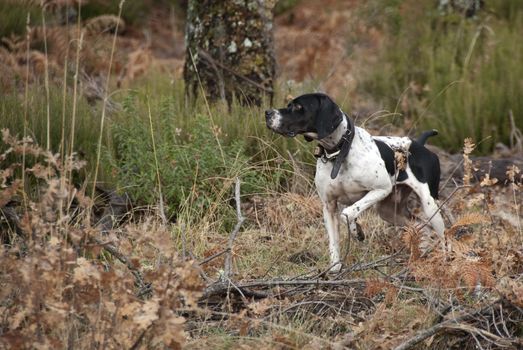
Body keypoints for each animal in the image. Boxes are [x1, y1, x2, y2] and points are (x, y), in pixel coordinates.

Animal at [266, 93, 446, 274]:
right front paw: (335, 268)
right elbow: (334, 242)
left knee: (443, 236)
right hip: (388, 211)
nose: (267, 113)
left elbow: (347, 213)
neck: (339, 152)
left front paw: (356, 231)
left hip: (430, 206)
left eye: (298, 107)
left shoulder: (381, 189)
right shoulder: (328, 206)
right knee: (420, 226)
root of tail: (418, 144)